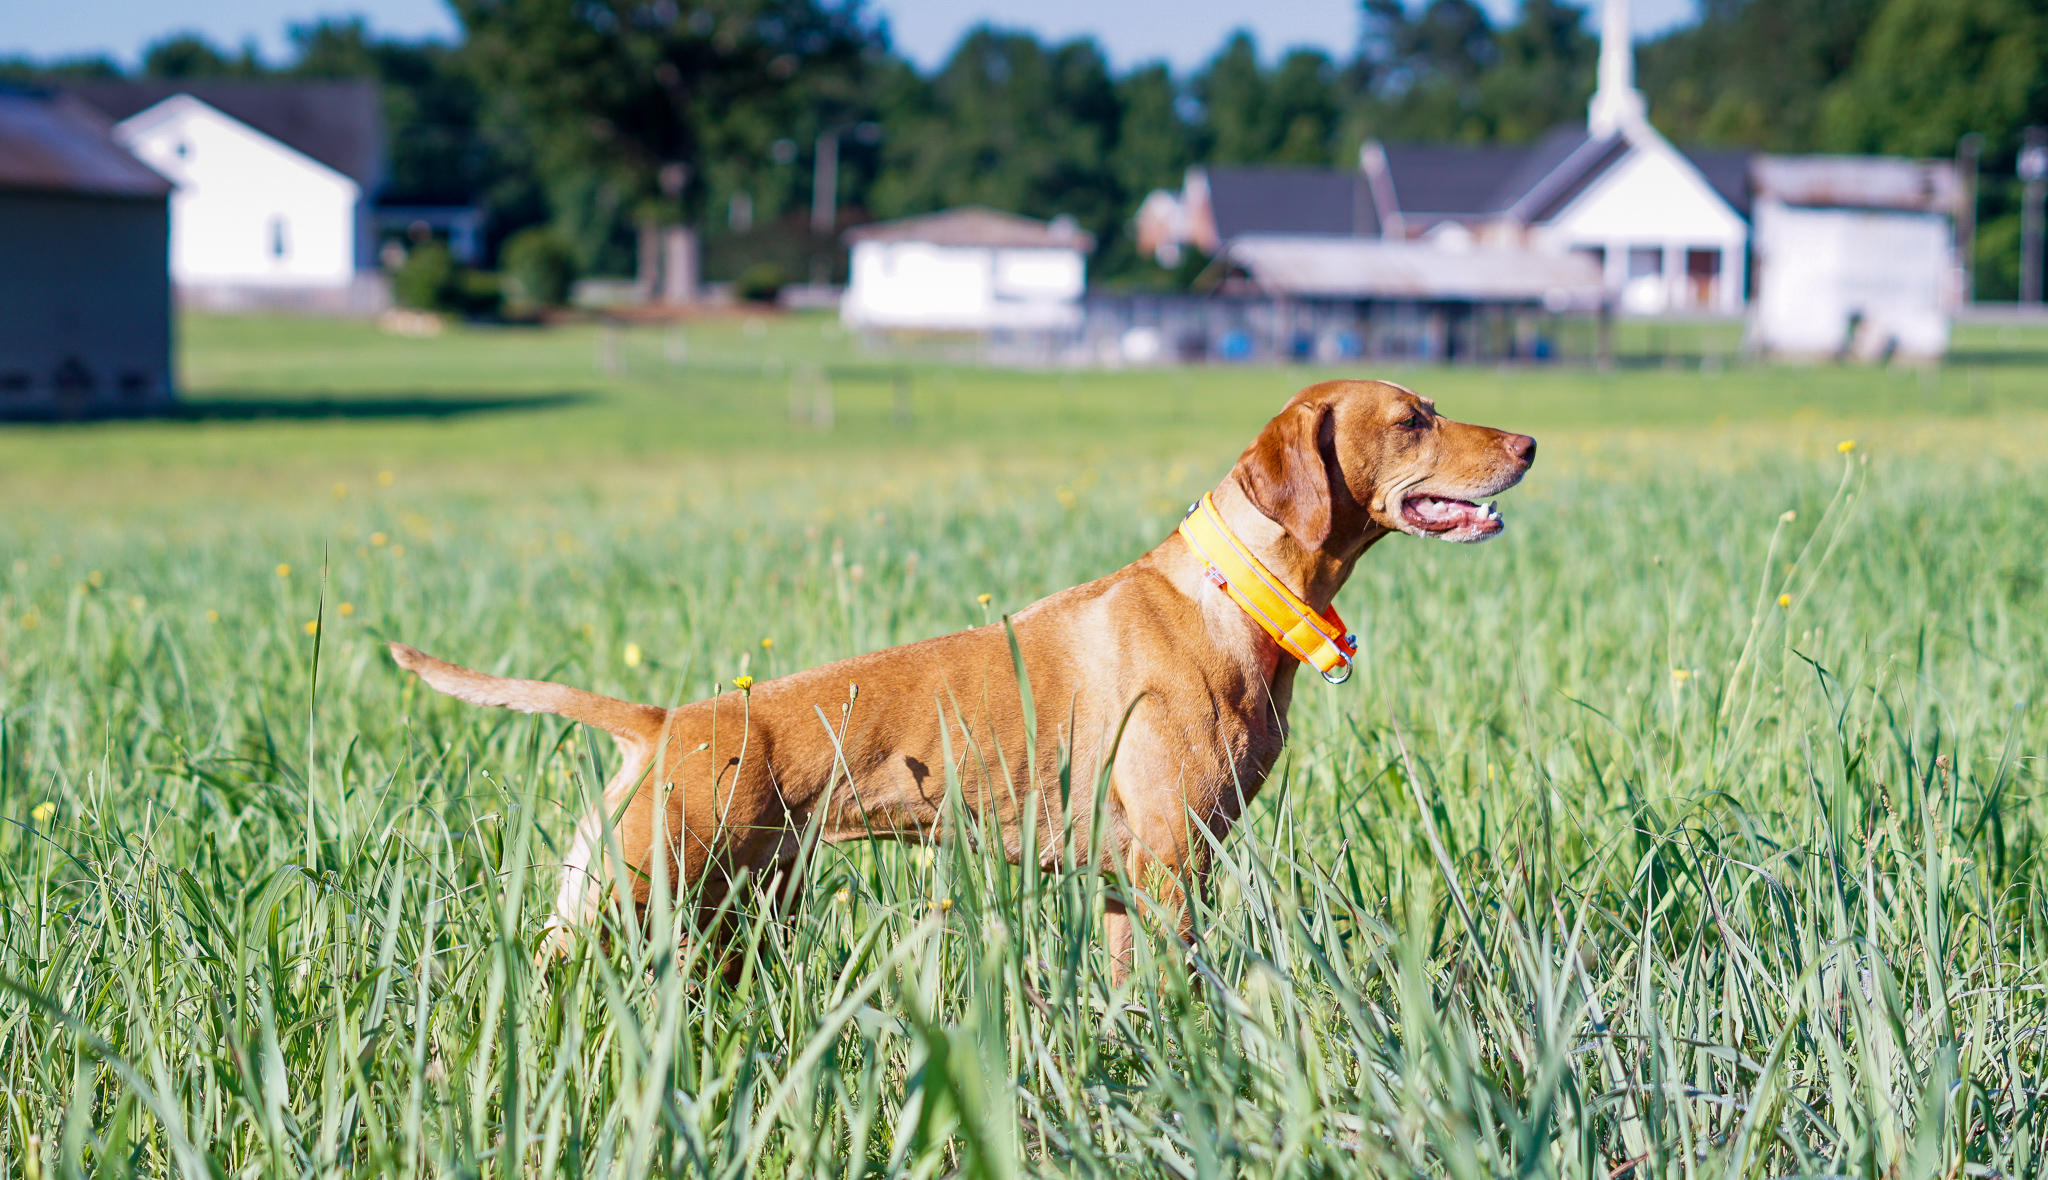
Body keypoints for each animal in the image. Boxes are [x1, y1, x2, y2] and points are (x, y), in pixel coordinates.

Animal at [391, 381, 1531, 975]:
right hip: (633, 898)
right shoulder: (1172, 864)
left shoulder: (1125, 883)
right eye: (1414, 418)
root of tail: (663, 720)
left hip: (736, 913)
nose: (1525, 441)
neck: (1236, 593)